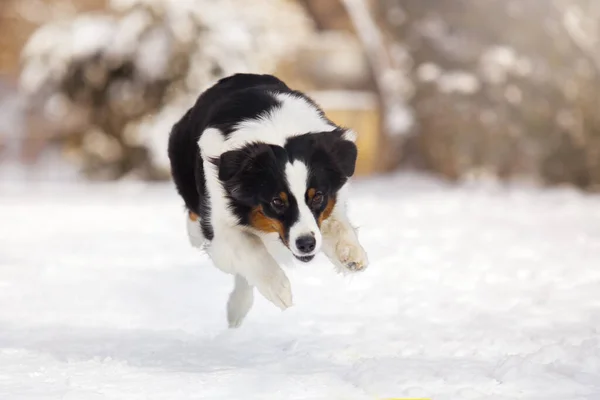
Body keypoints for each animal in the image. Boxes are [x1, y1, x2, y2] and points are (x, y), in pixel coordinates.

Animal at [166, 73, 368, 326]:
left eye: (318, 196)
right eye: (277, 202)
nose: (306, 244)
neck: (276, 132)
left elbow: (336, 224)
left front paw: (351, 254)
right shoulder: (220, 228)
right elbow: (250, 249)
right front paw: (279, 289)